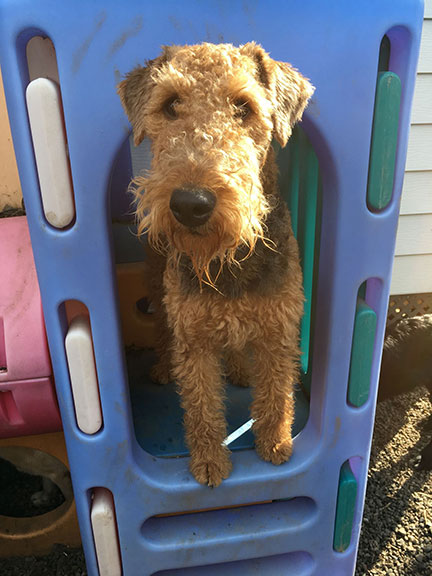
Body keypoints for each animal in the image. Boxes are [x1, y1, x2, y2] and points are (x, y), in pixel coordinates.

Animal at [118, 41, 314, 486]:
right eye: (171, 104)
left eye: (244, 106)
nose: (192, 203)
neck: (227, 261)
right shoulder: (195, 341)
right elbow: (202, 407)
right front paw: (209, 463)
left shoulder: (279, 330)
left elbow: (277, 394)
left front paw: (276, 445)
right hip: (161, 291)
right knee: (161, 332)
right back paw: (162, 368)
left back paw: (240, 370)